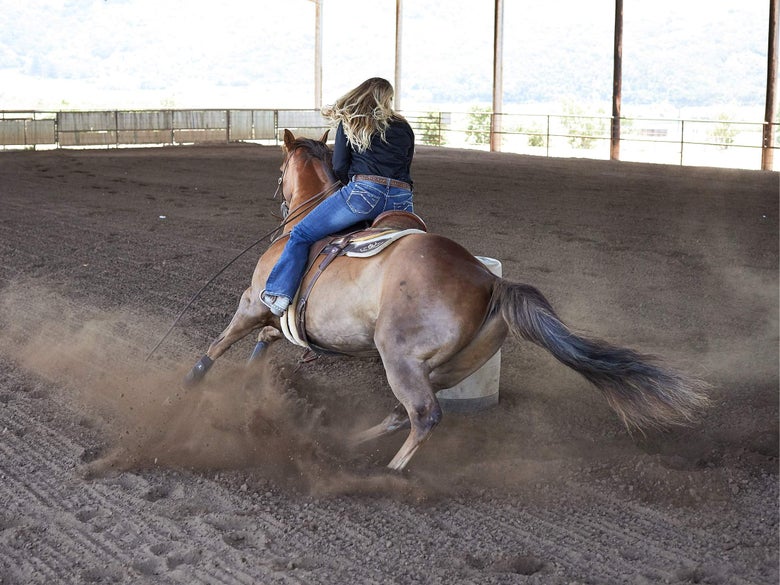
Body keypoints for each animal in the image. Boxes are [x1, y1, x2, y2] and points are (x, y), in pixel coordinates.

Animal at [183, 129, 708, 471]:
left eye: (280, 170)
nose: (280, 199)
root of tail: (489, 281)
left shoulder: (255, 301)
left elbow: (221, 341)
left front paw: (192, 383)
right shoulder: (290, 322)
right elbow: (265, 342)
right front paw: (250, 381)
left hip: (399, 358)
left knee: (424, 415)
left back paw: (387, 474)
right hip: (444, 366)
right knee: (406, 413)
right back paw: (351, 443)